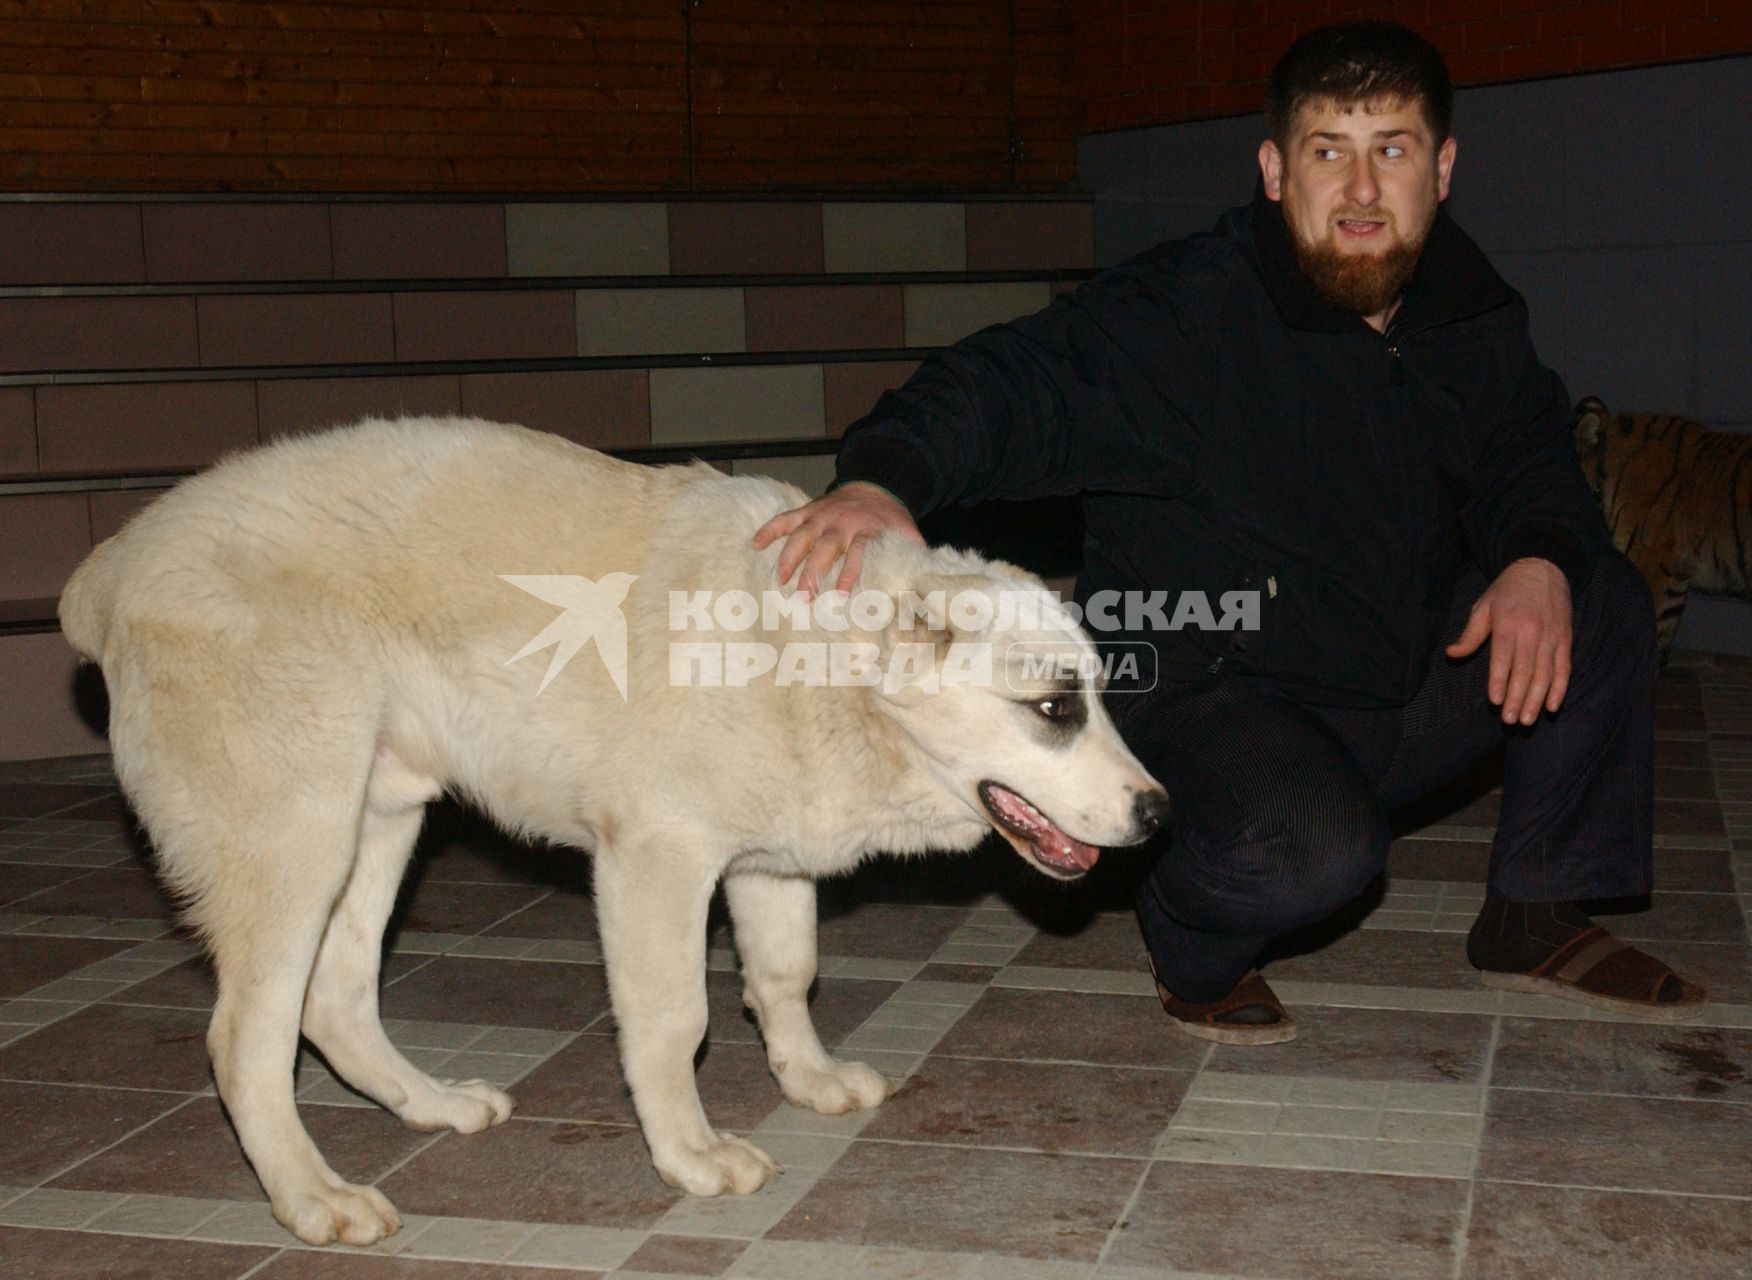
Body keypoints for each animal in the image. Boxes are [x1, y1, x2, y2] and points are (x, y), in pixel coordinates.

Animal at [61, 423, 1170, 1253]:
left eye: (1095, 697)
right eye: (1053, 708)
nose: (1160, 814)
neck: (814, 654)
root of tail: (111, 572)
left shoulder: (767, 864)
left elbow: (785, 977)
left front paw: (807, 1080)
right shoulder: (655, 862)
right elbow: (674, 1022)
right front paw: (690, 1154)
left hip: (377, 822)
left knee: (332, 1002)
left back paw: (430, 1106)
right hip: (297, 842)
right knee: (245, 1040)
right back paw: (312, 1196)